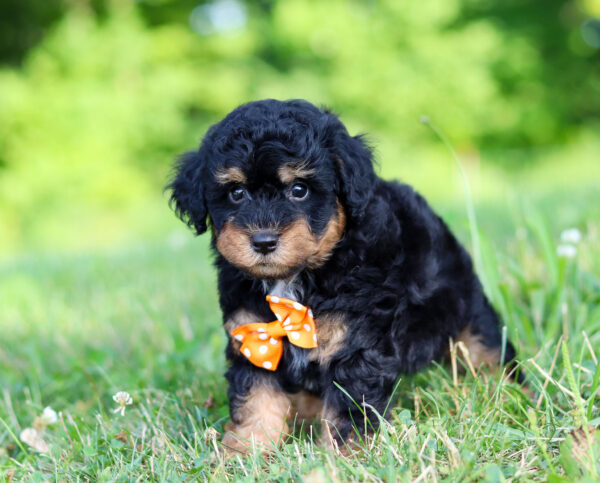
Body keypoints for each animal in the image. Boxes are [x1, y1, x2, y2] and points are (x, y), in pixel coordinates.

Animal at [166, 98, 516, 454]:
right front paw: (244, 450)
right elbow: (255, 399)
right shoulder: (254, 339)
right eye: (236, 193)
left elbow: (350, 407)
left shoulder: (355, 342)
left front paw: (344, 455)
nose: (263, 241)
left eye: (299, 189)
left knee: (486, 348)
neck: (300, 277)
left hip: (463, 309)